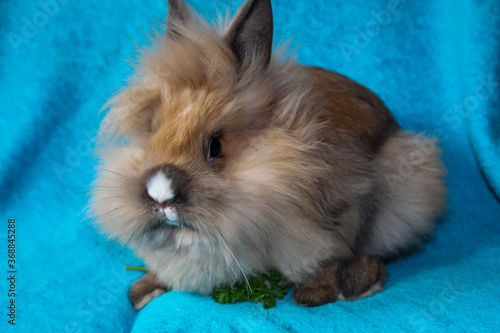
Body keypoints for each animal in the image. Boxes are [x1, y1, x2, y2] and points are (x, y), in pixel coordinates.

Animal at [90, 0, 446, 308]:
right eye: (151, 131)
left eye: (216, 146)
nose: (160, 196)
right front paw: (144, 290)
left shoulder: (346, 206)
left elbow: (336, 250)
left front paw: (319, 291)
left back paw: (355, 280)